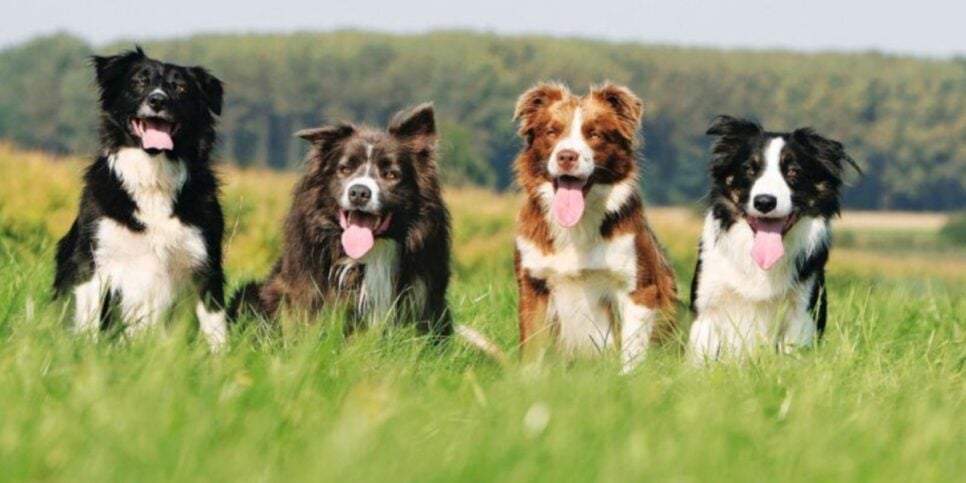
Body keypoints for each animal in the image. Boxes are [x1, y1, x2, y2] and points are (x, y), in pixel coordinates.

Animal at [56, 47, 229, 350]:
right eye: (139, 82)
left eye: (181, 87)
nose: (157, 100)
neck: (153, 178)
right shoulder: (93, 261)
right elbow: (89, 323)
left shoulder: (205, 265)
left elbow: (215, 329)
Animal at [510, 82, 676, 374]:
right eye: (552, 131)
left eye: (595, 134)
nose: (567, 156)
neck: (577, 226)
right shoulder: (534, 282)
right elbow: (532, 347)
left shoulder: (639, 287)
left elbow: (631, 351)